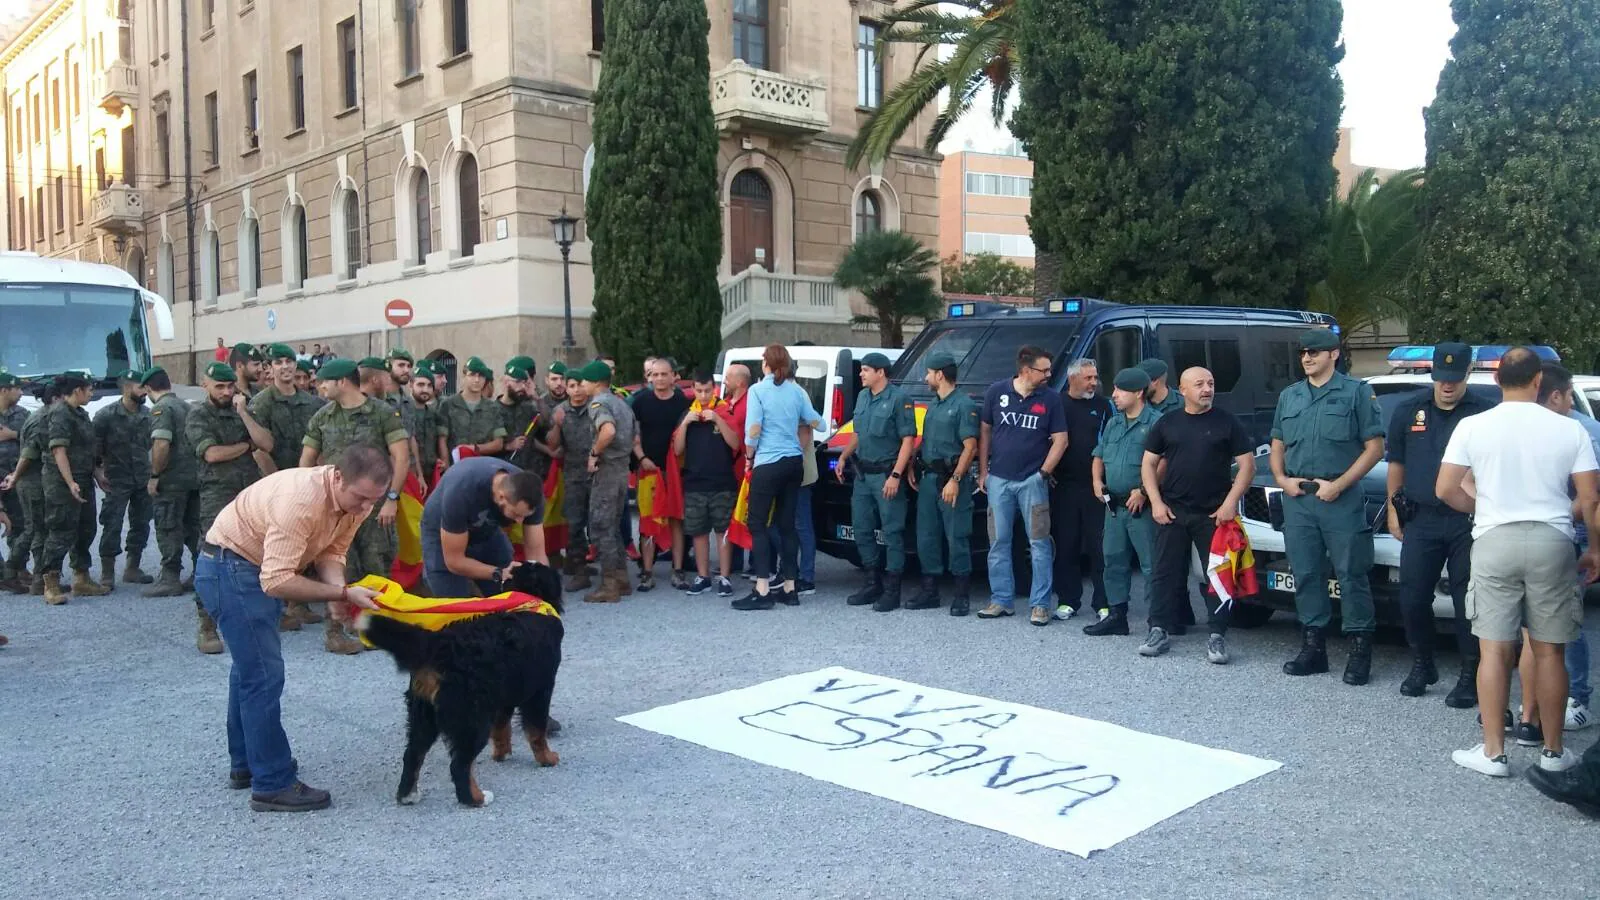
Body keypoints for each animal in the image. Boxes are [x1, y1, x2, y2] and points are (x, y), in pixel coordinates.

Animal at [353, 560, 566, 807]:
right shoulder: (540, 690)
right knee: (459, 765)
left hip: (423, 714)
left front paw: (502, 753)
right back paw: (476, 798)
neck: (530, 600)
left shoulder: (504, 694)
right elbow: (537, 732)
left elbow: (502, 728)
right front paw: (547, 759)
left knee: (413, 754)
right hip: (471, 718)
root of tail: (441, 643)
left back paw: (408, 795)